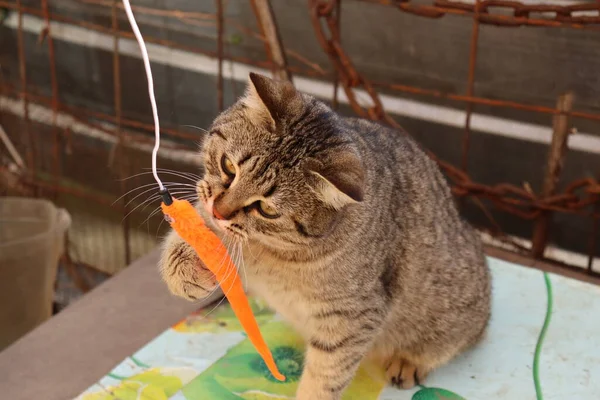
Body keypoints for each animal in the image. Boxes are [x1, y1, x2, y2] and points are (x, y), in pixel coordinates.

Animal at [159, 72, 492, 400]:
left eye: (266, 208)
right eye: (228, 166)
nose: (219, 211)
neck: (270, 251)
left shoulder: (352, 317)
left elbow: (324, 377)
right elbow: (190, 233)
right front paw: (186, 271)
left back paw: (409, 361)